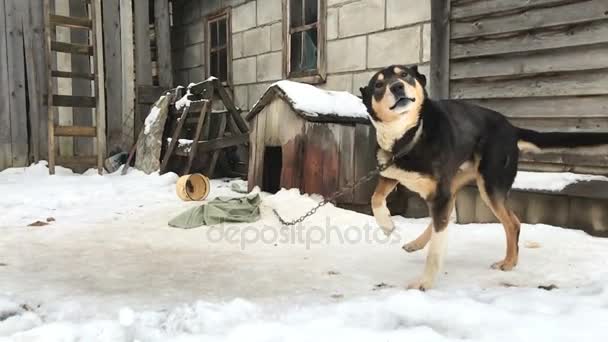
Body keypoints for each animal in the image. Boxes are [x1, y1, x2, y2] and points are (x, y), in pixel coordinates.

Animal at [358, 63, 608, 288]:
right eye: (378, 84)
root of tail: (511, 128)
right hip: (456, 185)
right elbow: (375, 198)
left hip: (489, 185)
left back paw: (509, 262)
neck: (410, 136)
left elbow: (436, 250)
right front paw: (386, 225)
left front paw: (425, 283)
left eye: (405, 75)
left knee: (512, 222)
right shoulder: (391, 171)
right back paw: (416, 243)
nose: (397, 87)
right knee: (447, 218)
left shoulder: (438, 193)